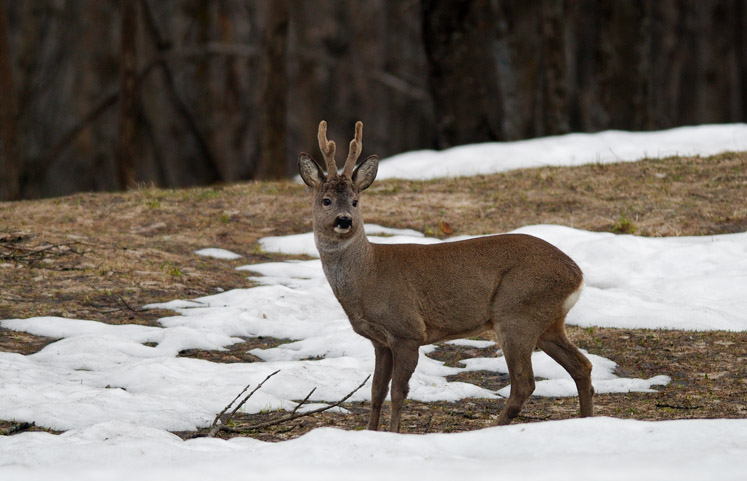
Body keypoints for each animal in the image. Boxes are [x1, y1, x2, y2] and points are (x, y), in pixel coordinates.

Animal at [298, 121, 596, 432]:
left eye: (355, 202)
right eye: (326, 200)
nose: (344, 220)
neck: (367, 275)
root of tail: (577, 274)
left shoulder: (407, 330)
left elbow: (397, 392)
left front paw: (393, 433)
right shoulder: (380, 341)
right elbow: (376, 391)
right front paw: (372, 432)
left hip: (517, 313)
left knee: (525, 382)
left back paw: (492, 426)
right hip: (548, 322)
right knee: (581, 365)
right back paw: (587, 419)